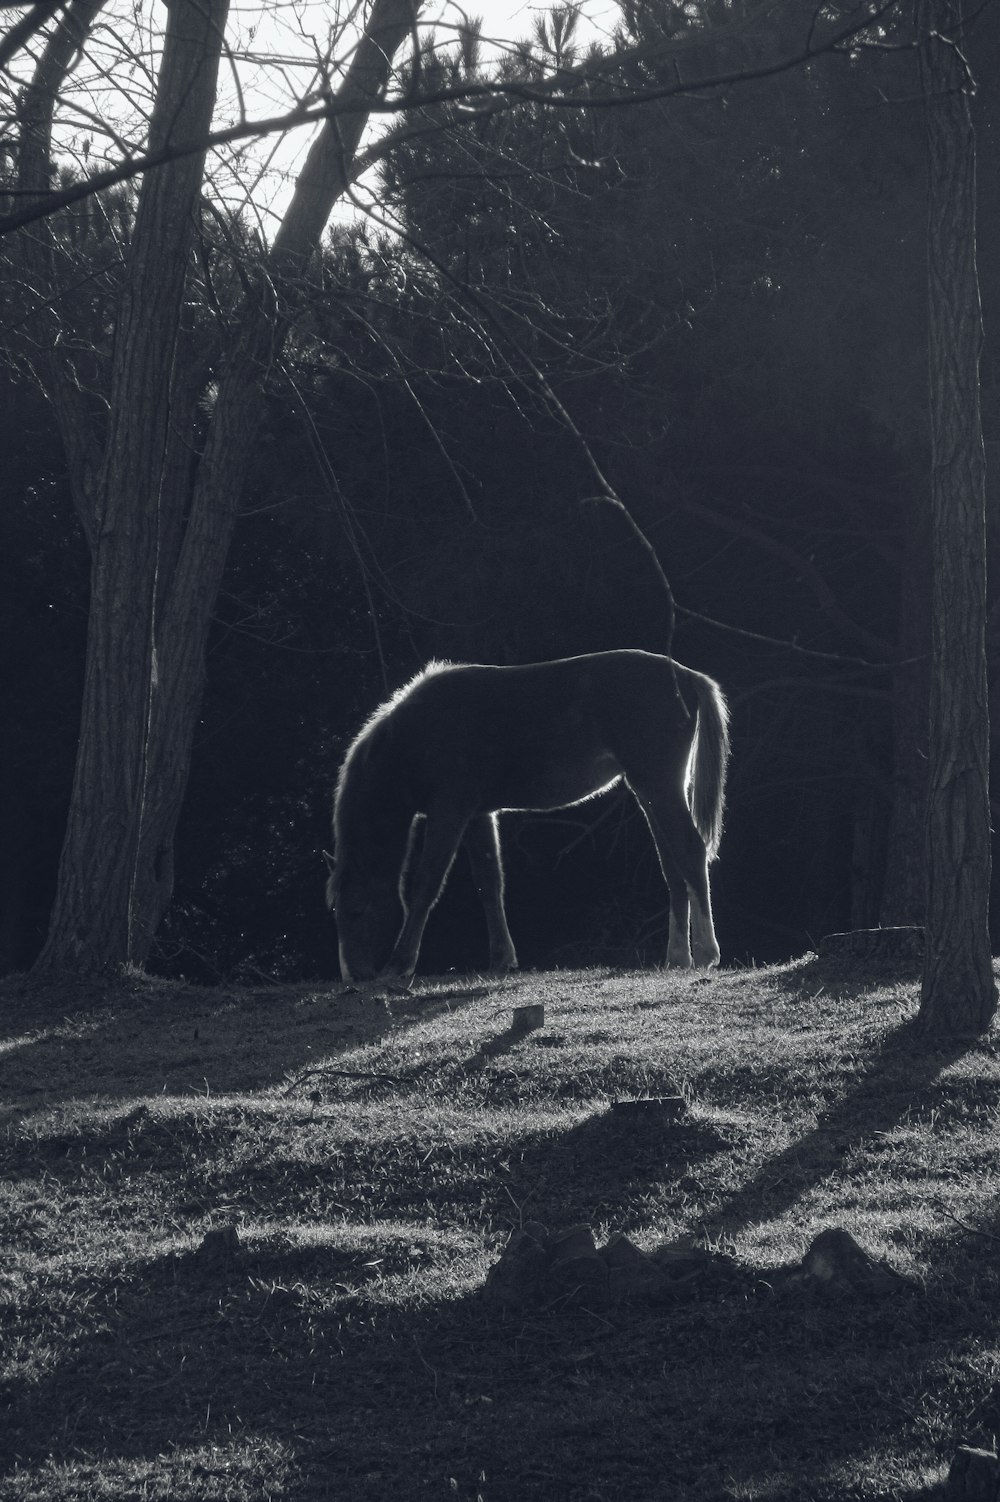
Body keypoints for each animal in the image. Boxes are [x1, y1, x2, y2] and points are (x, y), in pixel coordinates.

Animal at [322, 648, 729, 985]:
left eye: (356, 911)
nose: (353, 978)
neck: (414, 737)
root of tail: (685, 675)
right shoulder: (478, 815)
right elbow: (489, 884)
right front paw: (502, 960)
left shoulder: (449, 811)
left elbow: (426, 884)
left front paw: (400, 964)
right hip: (650, 792)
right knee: (673, 866)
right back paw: (678, 957)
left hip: (659, 786)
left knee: (690, 851)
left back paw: (706, 952)